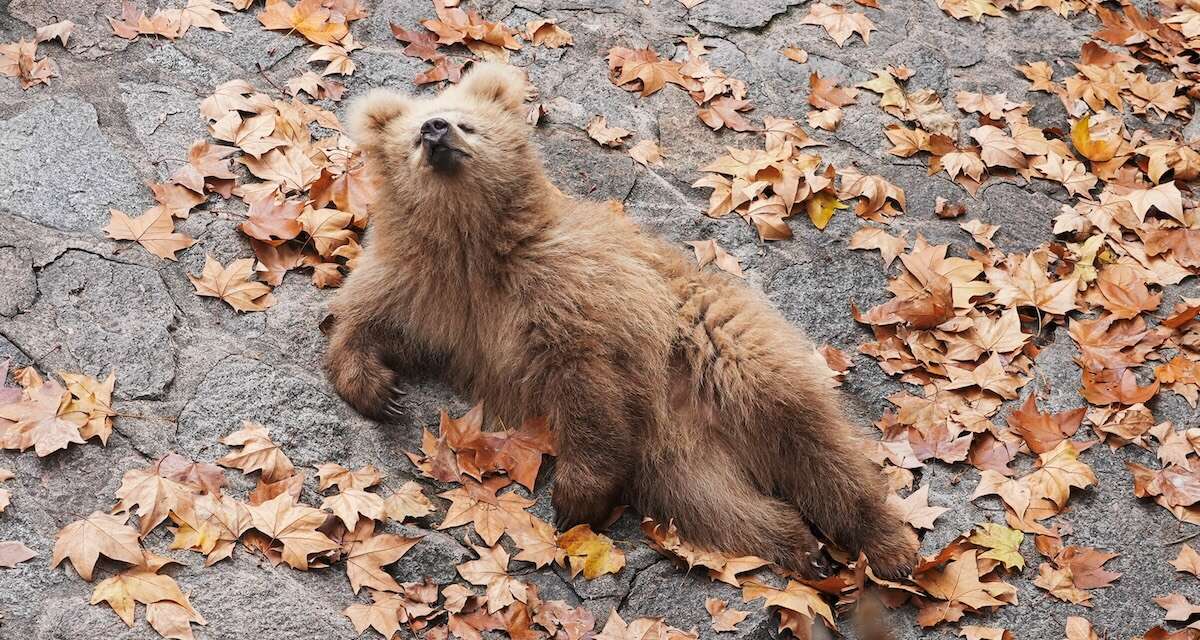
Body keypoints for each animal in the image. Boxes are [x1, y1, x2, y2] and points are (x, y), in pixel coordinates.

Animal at [321, 62, 916, 576]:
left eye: (466, 121)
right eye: (412, 134)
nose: (436, 128)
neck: (473, 246)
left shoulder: (568, 291)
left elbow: (588, 381)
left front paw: (572, 497)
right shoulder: (428, 292)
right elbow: (365, 322)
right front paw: (379, 389)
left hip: (729, 355)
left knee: (815, 445)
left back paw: (889, 547)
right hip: (675, 459)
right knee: (715, 505)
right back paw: (799, 545)